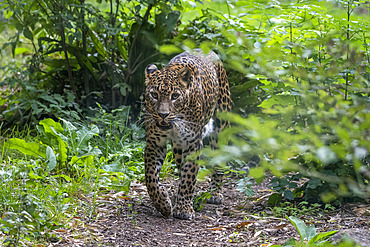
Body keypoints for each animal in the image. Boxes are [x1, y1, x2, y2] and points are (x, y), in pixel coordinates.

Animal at [142, 49, 231, 219]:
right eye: (154, 95)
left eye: (175, 96)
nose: (163, 115)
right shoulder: (154, 142)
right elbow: (150, 177)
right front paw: (163, 203)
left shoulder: (193, 143)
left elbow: (189, 175)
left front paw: (184, 208)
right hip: (177, 147)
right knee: (179, 165)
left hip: (221, 126)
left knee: (219, 160)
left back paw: (215, 192)